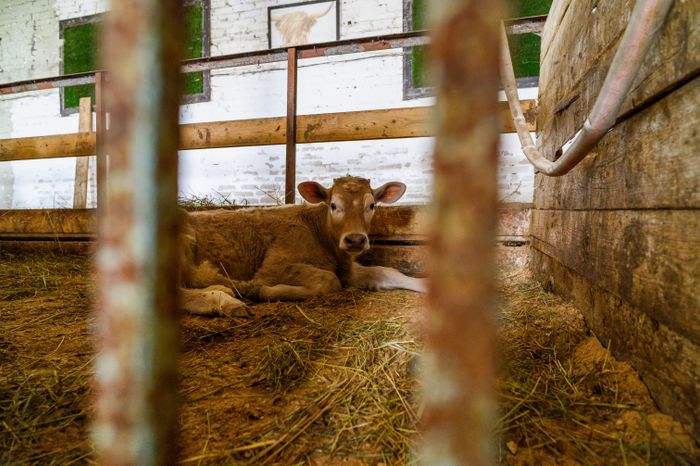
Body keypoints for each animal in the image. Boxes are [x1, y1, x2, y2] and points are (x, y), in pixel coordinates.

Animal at [180, 176, 426, 316]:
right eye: (333, 205)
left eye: (372, 205)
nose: (355, 239)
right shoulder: (273, 267)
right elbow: (328, 280)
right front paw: (262, 290)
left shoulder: (346, 269)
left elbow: (388, 272)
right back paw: (226, 301)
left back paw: (222, 290)